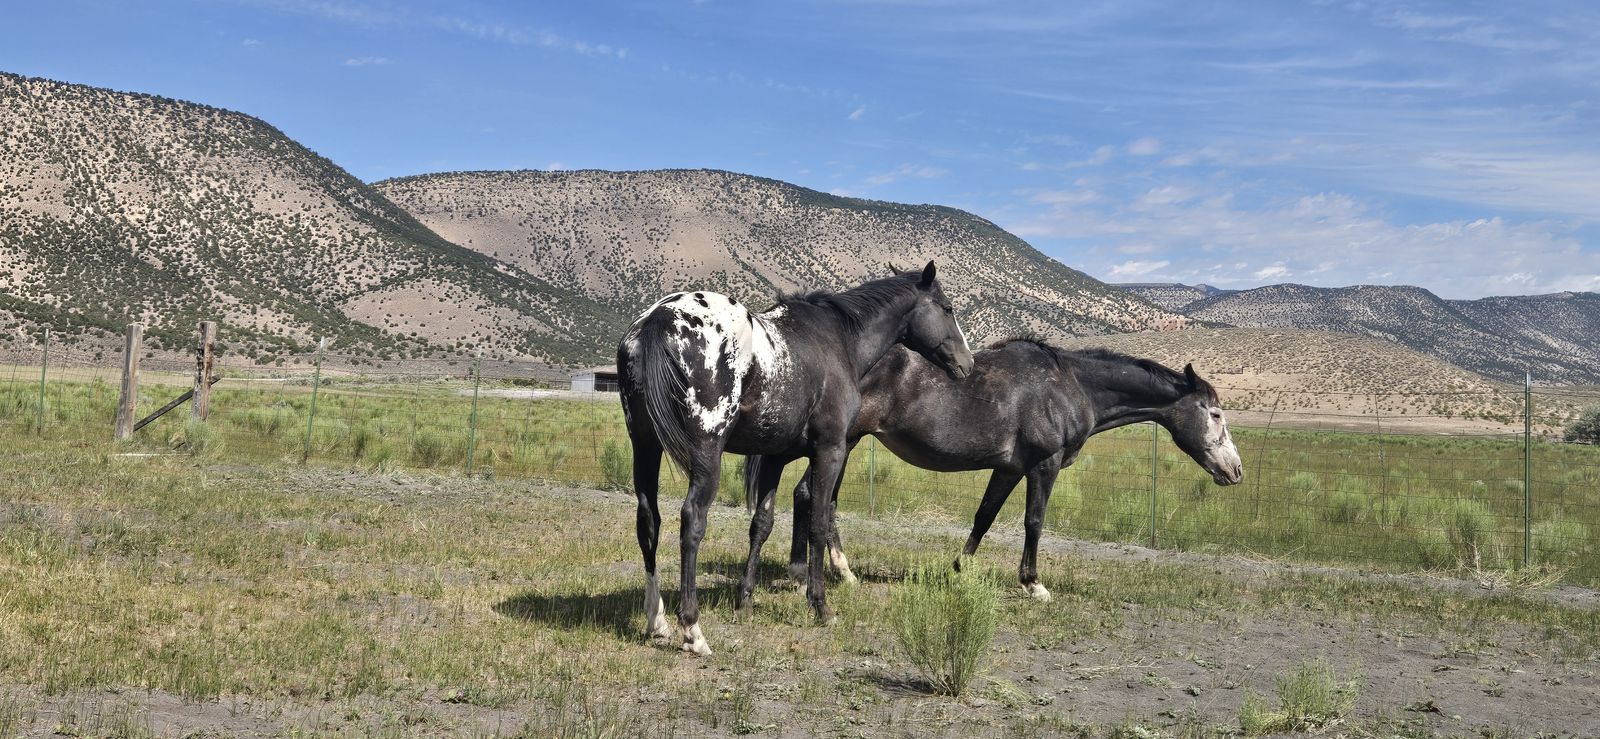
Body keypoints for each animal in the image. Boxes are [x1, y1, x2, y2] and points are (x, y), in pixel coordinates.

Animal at [618, 262, 975, 656]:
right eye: (947, 308)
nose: (968, 363)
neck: (839, 340)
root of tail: (658, 317)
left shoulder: (775, 458)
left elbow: (761, 524)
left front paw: (745, 600)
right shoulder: (830, 450)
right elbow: (818, 522)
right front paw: (820, 605)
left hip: (645, 447)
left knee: (648, 522)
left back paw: (657, 621)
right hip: (706, 456)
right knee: (692, 522)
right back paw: (692, 630)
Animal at [738, 338, 1243, 606]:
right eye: (1216, 414)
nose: (1235, 470)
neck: (1068, 386)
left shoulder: (1008, 468)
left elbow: (984, 516)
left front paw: (959, 569)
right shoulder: (1043, 466)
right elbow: (1033, 522)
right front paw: (1034, 584)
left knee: (810, 497)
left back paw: (816, 571)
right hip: (843, 442)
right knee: (813, 497)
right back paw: (825, 572)